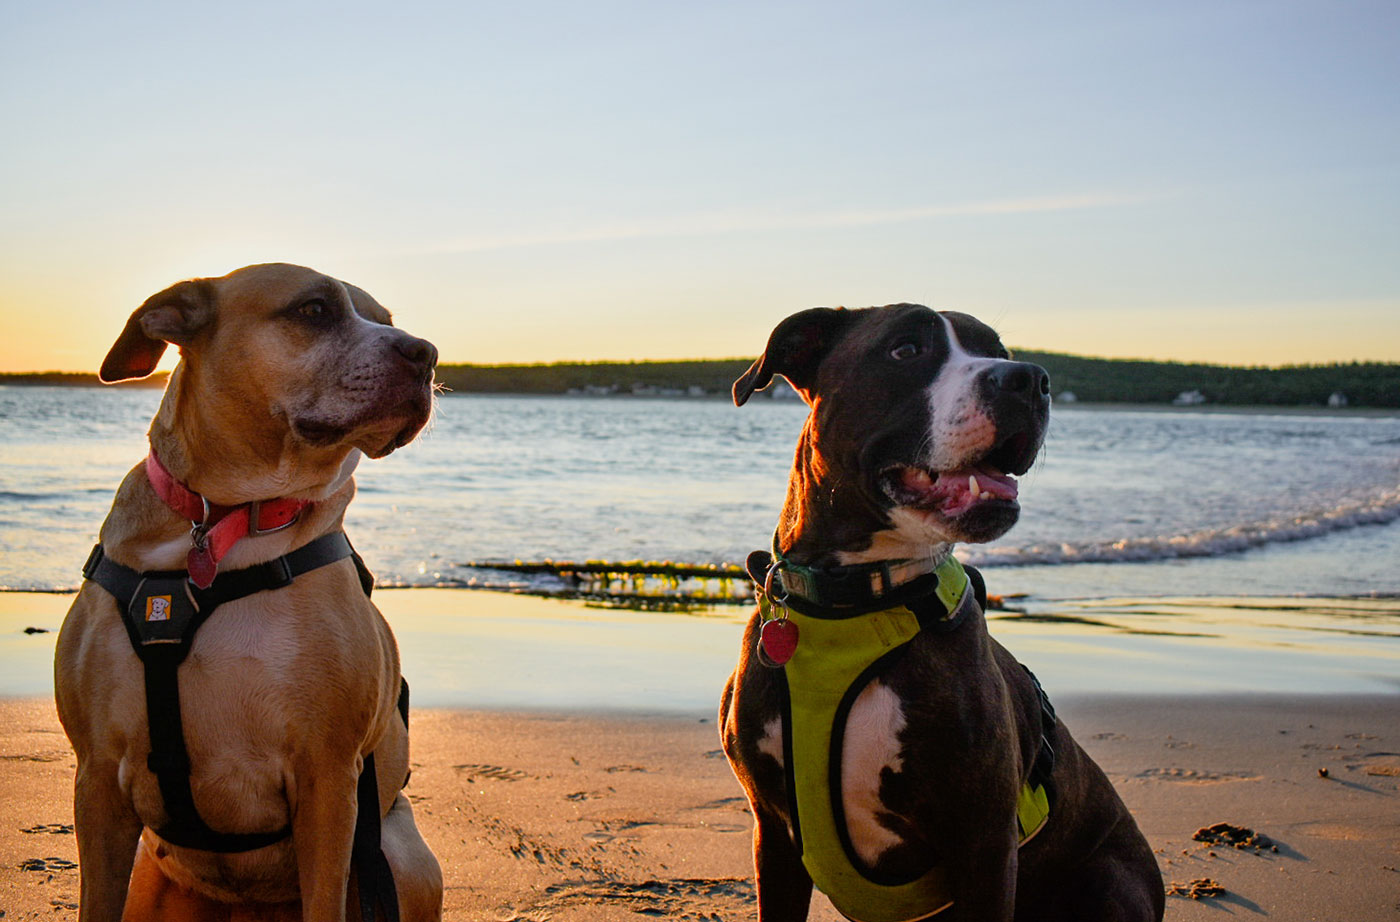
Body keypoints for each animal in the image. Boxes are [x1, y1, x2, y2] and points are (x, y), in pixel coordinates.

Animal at [53, 263, 442, 917]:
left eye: (385, 320)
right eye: (313, 310)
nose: (427, 353)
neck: (226, 516)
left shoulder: (328, 780)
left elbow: (325, 902)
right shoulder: (98, 777)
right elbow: (95, 901)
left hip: (398, 853)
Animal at [722, 306, 1159, 917]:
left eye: (1000, 352)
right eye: (906, 349)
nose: (1029, 379)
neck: (859, 599)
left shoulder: (985, 841)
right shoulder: (775, 834)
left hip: (1108, 881)